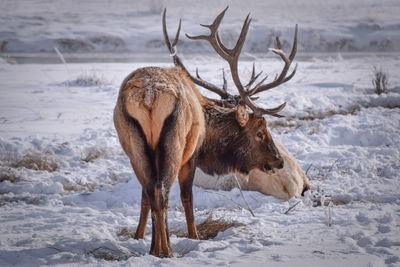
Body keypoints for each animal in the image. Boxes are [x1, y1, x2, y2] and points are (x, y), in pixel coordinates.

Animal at [112, 6, 296, 258]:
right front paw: (194, 236)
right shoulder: (192, 156)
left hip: (133, 144)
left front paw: (139, 237)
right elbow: (187, 198)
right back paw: (166, 250)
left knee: (151, 190)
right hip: (175, 142)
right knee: (161, 191)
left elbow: (143, 198)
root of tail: (148, 98)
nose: (279, 160)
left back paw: (156, 248)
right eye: (260, 131)